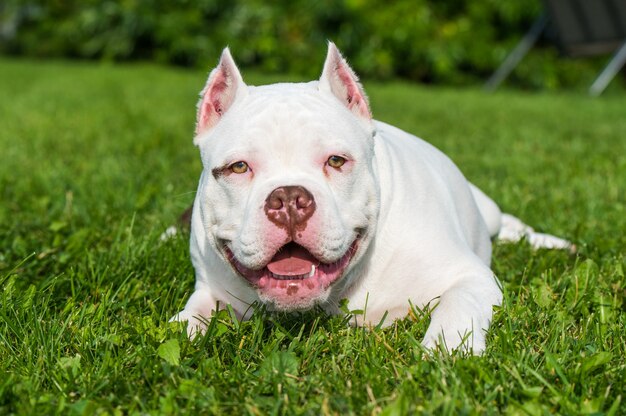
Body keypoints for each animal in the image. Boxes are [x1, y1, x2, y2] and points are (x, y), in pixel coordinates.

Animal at [171, 42, 572, 354]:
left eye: (336, 161)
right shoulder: (211, 291)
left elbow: (457, 309)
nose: (288, 198)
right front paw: (184, 330)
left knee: (508, 224)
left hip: (486, 211)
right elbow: (187, 320)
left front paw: (445, 353)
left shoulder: (471, 276)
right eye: (239, 167)